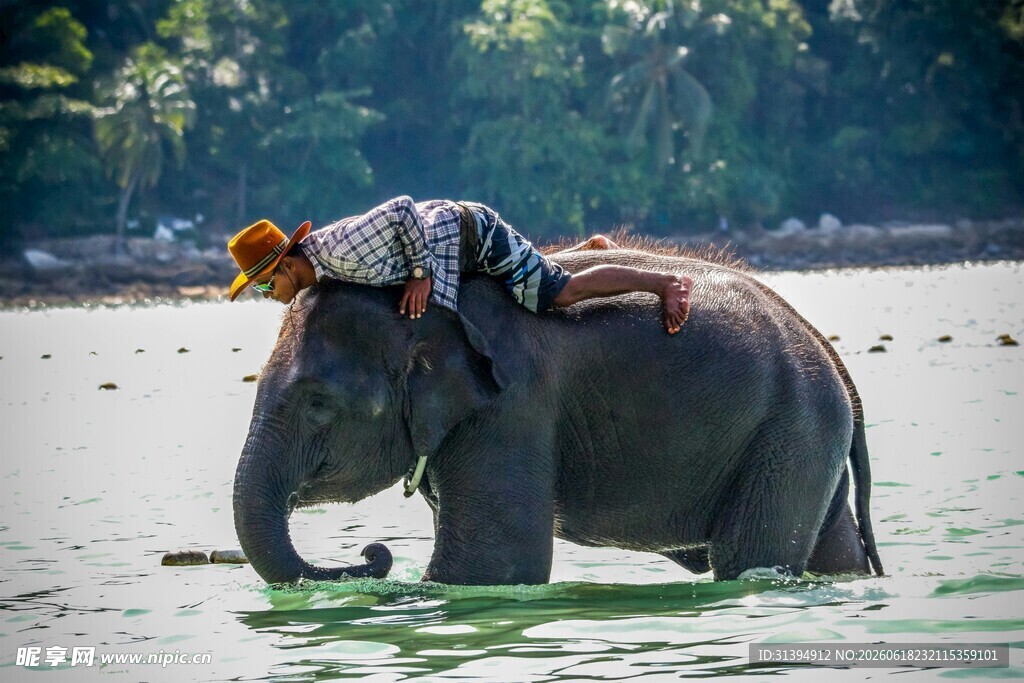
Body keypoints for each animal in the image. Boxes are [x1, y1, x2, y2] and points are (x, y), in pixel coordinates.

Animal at [233, 246, 884, 585]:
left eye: (318, 404)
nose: (374, 555)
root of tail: (828, 353)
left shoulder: (510, 409)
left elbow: (491, 567)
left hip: (791, 432)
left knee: (750, 560)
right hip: (803, 437)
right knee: (830, 550)